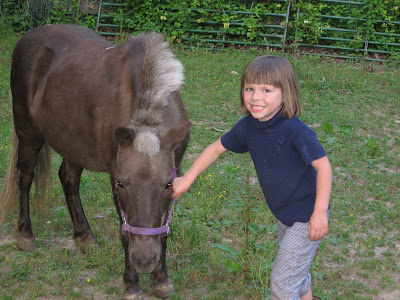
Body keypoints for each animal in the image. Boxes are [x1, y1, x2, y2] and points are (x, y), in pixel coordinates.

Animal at [0, 24, 191, 300]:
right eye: (122, 184)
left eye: (167, 184)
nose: (144, 260)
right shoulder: (113, 175)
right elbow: (124, 231)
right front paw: (131, 284)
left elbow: (164, 229)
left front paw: (162, 279)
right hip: (28, 133)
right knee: (24, 178)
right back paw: (26, 235)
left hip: (73, 143)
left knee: (68, 179)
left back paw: (85, 237)